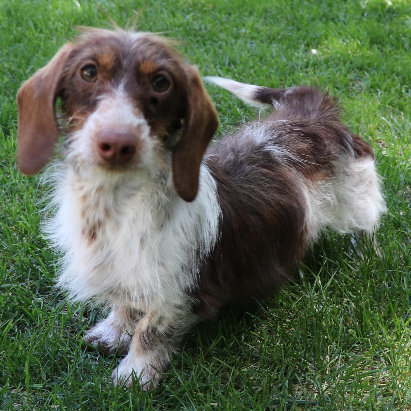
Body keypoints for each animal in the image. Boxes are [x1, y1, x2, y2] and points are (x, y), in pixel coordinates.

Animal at [16, 28, 388, 390]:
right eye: (88, 72)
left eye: (161, 83)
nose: (117, 141)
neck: (118, 201)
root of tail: (313, 112)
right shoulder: (127, 268)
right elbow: (125, 301)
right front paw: (113, 333)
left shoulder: (175, 292)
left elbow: (150, 331)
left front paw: (135, 375)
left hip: (357, 193)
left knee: (368, 224)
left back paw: (366, 257)